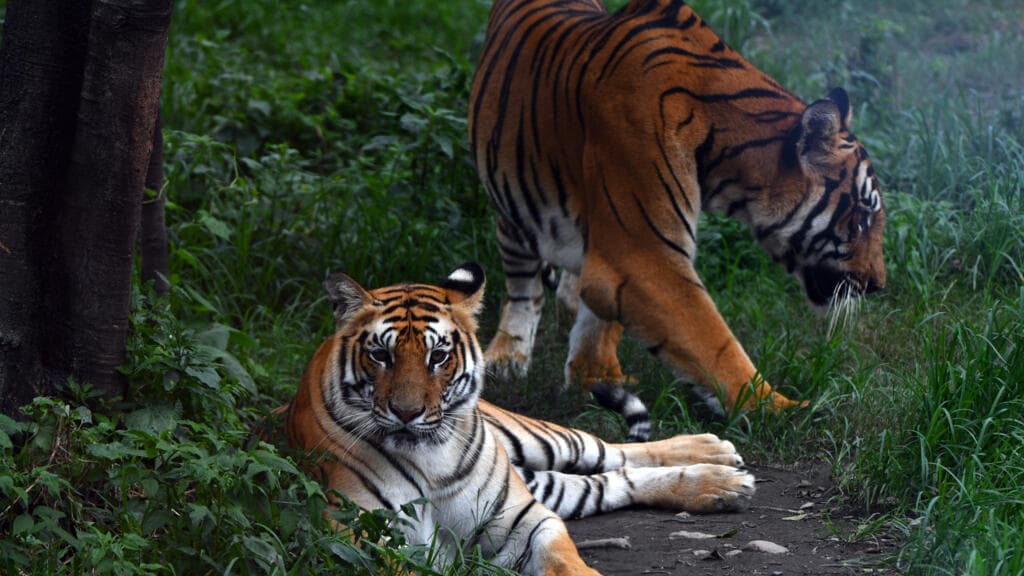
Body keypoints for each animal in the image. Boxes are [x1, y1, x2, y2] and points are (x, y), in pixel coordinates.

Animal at [285, 263, 755, 576]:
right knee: (607, 482)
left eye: (438, 356)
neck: (431, 460)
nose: (407, 412)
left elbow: (567, 562)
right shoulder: (359, 536)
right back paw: (720, 483)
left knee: (609, 451)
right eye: (381, 355)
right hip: (542, 481)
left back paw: (715, 458)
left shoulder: (525, 520)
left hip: (537, 440)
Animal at [469, 0, 887, 429]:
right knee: (523, 286)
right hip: (513, 207)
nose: (878, 285)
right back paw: (508, 356)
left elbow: (599, 318)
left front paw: (596, 376)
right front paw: (785, 410)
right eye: (862, 217)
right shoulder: (643, 257)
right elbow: (713, 342)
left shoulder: (613, 243)